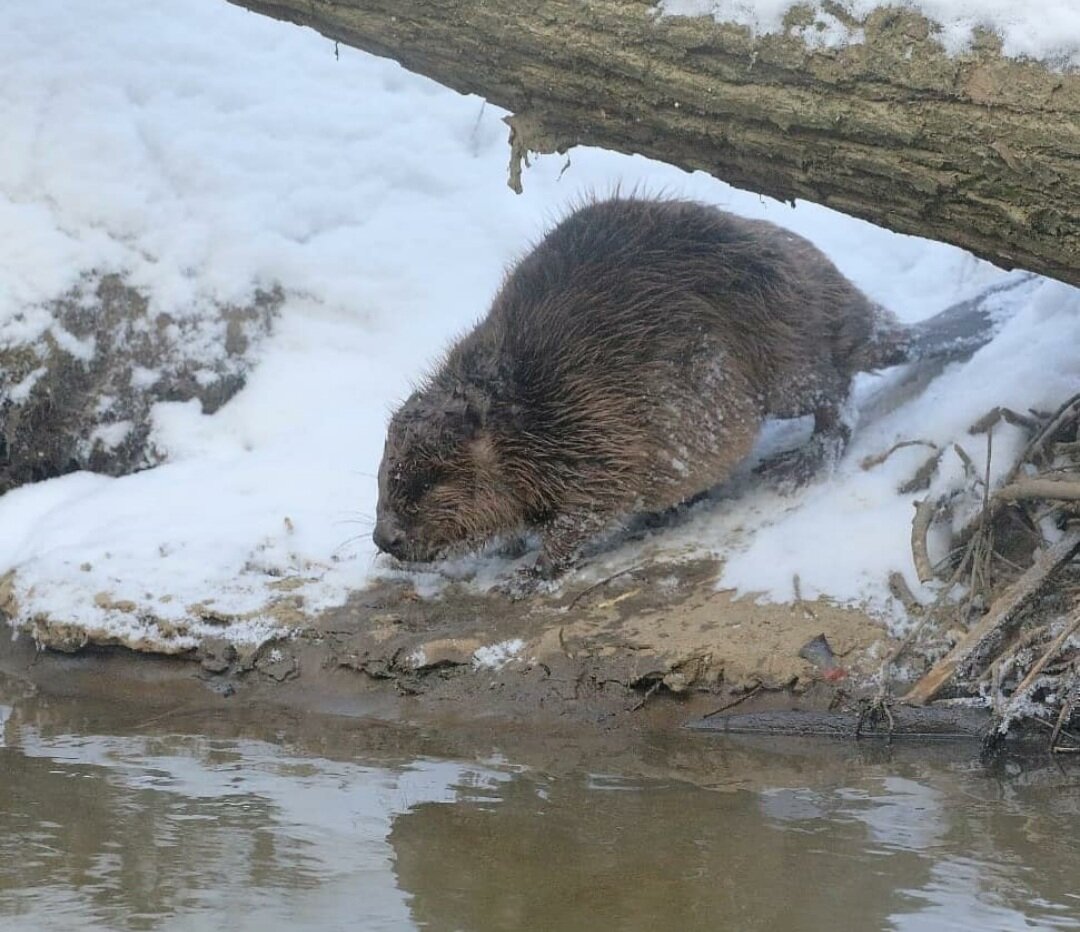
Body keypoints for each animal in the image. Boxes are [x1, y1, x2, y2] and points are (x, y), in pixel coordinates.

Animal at [373, 197, 1010, 583]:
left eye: (428, 480)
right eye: (385, 474)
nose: (385, 539)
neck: (525, 407)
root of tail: (869, 324)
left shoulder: (595, 432)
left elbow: (590, 512)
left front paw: (525, 572)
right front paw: (505, 548)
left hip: (786, 362)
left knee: (836, 399)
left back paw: (797, 465)